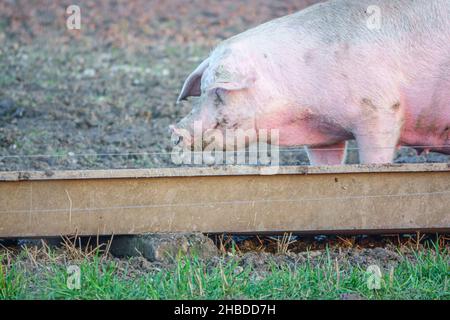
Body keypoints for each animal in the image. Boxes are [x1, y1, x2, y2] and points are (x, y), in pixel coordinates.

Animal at [171, 0, 448, 164]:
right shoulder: (324, 137)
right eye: (202, 91)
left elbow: (374, 159)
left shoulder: (381, 108)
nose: (174, 130)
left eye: (218, 92)